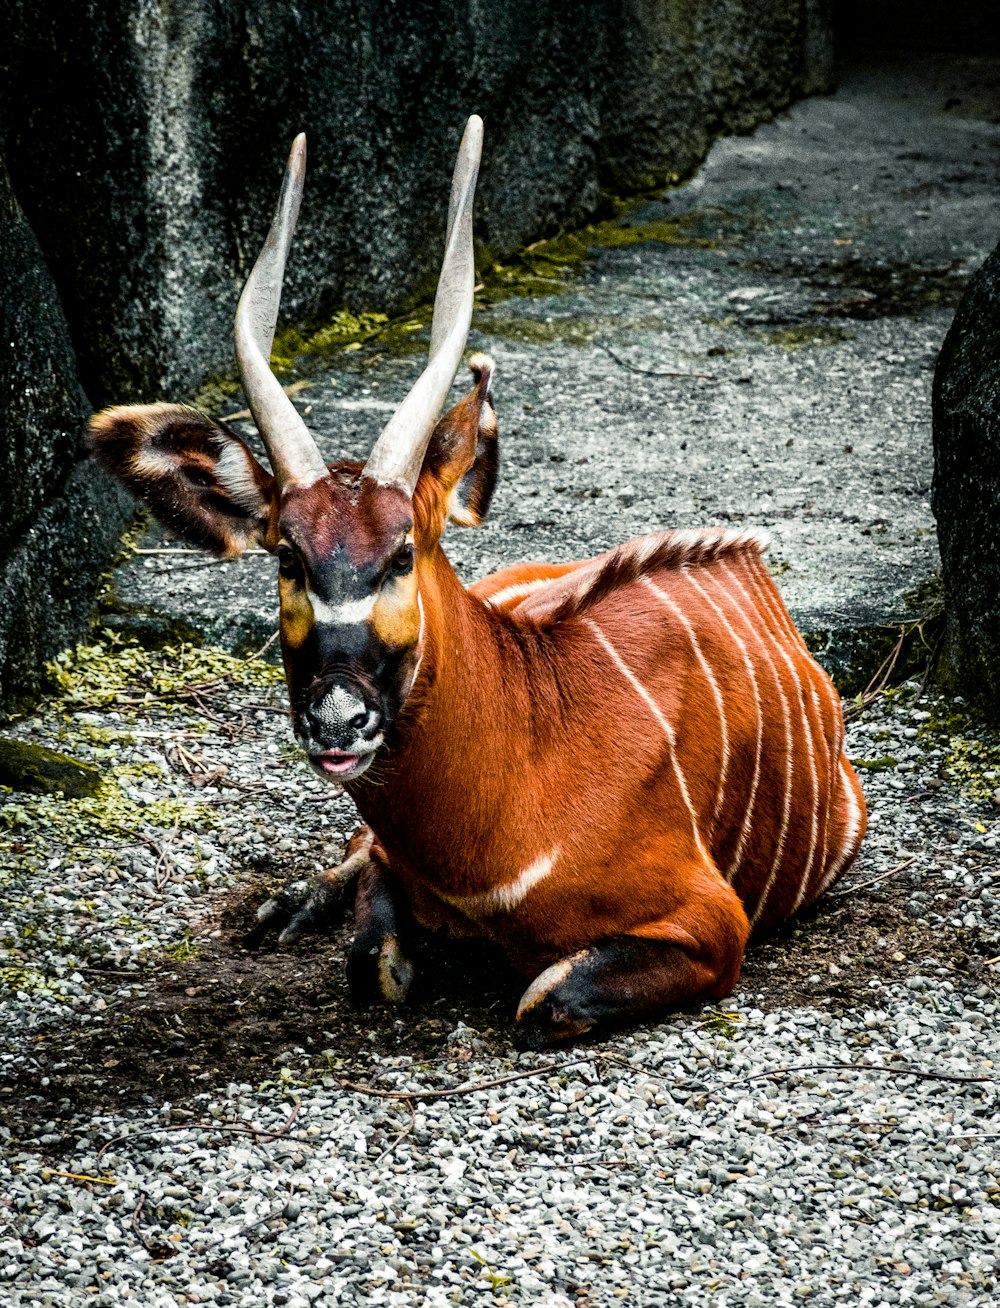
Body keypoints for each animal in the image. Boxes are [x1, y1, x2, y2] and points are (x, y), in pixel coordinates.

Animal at [89, 117, 862, 1046]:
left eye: (402, 553)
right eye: (288, 557)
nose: (338, 720)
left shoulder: (712, 922)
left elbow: (541, 997)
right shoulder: (395, 871)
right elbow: (371, 959)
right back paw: (288, 905)